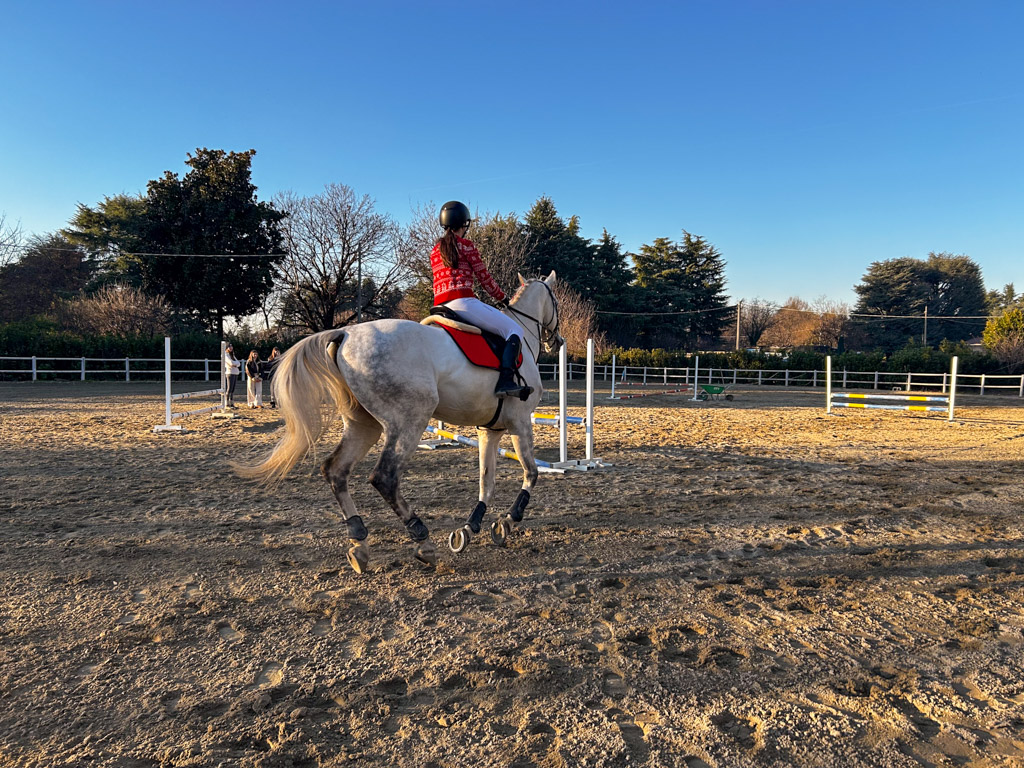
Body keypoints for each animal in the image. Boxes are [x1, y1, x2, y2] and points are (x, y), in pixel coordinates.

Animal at [233, 272, 563, 573]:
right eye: (557, 301)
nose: (557, 341)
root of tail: (345, 334)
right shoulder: (520, 422)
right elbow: (531, 472)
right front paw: (507, 522)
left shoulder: (489, 430)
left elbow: (486, 482)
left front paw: (470, 529)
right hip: (410, 421)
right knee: (385, 478)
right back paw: (422, 541)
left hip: (364, 425)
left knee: (335, 471)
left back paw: (359, 544)